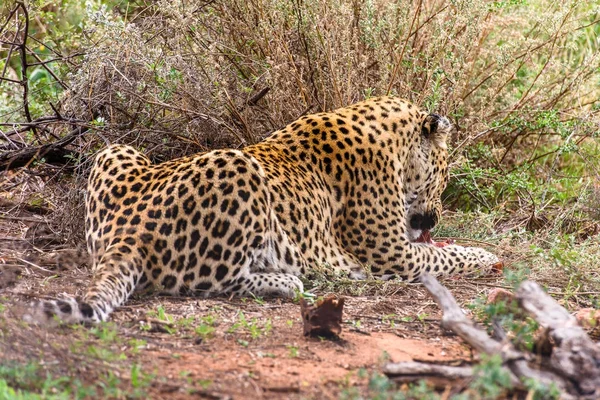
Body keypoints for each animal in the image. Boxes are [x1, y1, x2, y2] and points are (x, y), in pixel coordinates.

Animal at [23, 97, 500, 324]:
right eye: (445, 173)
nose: (436, 216)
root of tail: (129, 229)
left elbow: (444, 250)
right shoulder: (391, 256)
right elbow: (447, 256)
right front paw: (489, 256)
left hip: (115, 151)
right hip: (239, 169)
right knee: (213, 280)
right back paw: (288, 281)